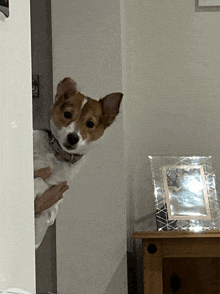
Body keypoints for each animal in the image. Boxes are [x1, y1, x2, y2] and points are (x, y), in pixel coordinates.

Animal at [33, 78, 124, 248]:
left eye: (90, 124)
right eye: (67, 114)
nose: (73, 137)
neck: (57, 155)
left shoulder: (50, 205)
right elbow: (38, 179)